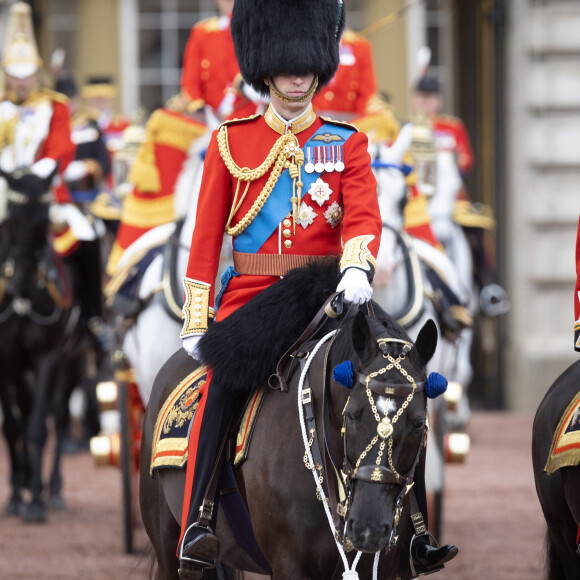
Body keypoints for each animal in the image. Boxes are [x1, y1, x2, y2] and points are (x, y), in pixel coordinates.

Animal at [0, 167, 91, 520]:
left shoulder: (48, 356)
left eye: (43, 223)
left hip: (72, 361)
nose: (21, 280)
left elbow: (39, 427)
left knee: (61, 419)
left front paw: (35, 502)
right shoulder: (8, 359)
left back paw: (52, 490)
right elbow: (14, 427)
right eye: (11, 218)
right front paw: (16, 496)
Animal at [142, 264, 440, 580]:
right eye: (350, 415)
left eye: (419, 425)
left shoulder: (382, 566)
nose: (368, 528)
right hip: (167, 546)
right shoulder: (288, 563)